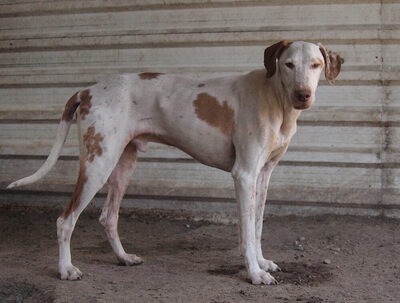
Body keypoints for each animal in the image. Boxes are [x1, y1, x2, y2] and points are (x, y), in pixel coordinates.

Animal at [7, 40, 340, 284]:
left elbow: (255, 227)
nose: (302, 95)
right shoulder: (244, 175)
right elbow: (246, 231)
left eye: (316, 64)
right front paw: (254, 274)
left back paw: (123, 258)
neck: (274, 99)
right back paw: (66, 269)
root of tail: (87, 90)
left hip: (123, 164)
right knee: (65, 220)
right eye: (288, 65)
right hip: (97, 164)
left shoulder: (264, 175)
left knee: (108, 216)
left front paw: (261, 263)